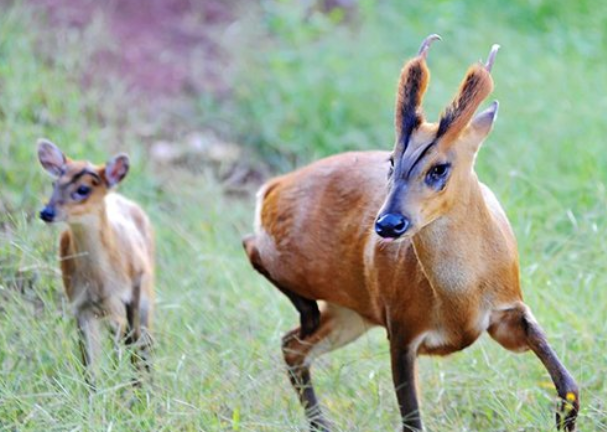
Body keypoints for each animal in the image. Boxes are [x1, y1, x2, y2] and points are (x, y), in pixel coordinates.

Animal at [37, 140, 154, 386]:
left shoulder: (127, 294)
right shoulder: (80, 305)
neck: (99, 281)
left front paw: (129, 390)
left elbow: (127, 349)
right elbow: (89, 366)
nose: (46, 212)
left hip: (144, 295)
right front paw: (95, 393)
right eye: (54, 183)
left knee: (142, 344)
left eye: (83, 189)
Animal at [243, 35, 580, 430]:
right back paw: (306, 315)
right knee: (253, 250)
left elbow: (569, 386)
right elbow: (412, 420)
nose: (388, 224)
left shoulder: (508, 313)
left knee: (292, 346)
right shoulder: (402, 329)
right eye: (391, 160)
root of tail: (274, 186)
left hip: (349, 313)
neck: (459, 300)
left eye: (439, 168)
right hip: (303, 270)